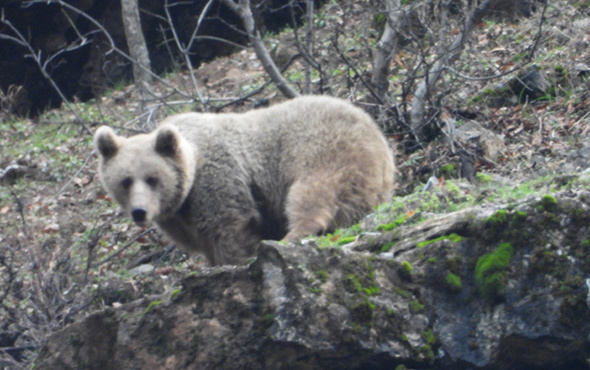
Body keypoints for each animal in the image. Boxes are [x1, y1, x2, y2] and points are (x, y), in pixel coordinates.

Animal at [95, 94, 396, 264]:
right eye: (125, 181)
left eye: (152, 178)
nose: (139, 211)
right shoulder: (179, 218)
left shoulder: (219, 179)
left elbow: (230, 228)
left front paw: (237, 258)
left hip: (323, 148)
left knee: (312, 192)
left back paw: (290, 236)